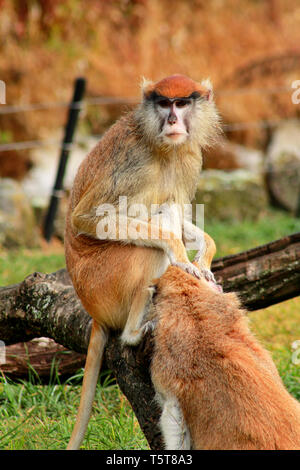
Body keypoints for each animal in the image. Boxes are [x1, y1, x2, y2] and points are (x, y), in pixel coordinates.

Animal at [65, 73, 220, 448]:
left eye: (182, 103)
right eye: (163, 103)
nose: (173, 120)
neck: (161, 147)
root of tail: (91, 309)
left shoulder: (188, 159)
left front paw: (204, 257)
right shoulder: (132, 160)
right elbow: (89, 219)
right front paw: (181, 256)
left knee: (168, 208)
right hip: (103, 281)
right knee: (151, 246)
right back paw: (134, 331)